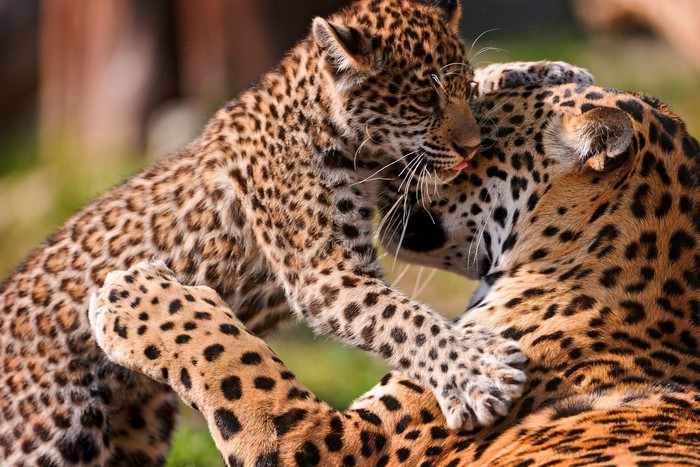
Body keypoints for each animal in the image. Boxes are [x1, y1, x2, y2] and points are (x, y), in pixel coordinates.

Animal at [0, 0, 597, 463]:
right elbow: (405, 320)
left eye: (464, 89)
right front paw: (478, 374)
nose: (472, 147)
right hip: (50, 435)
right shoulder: (325, 272)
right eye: (424, 101)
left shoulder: (395, 177)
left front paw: (550, 71)